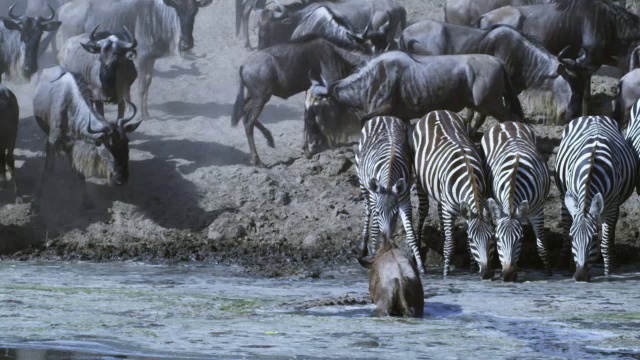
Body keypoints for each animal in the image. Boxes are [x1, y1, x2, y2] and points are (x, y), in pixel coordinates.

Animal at [356, 115, 424, 272]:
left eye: (395, 214)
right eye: (379, 213)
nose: (386, 240)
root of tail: (384, 116)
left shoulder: (404, 200)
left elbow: (411, 234)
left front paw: (420, 265)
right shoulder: (375, 199)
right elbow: (375, 230)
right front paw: (374, 255)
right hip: (363, 183)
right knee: (367, 211)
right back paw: (363, 247)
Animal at [410, 111, 496, 280]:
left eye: (491, 239)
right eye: (473, 240)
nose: (486, 273)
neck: (468, 174)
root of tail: (437, 111)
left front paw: (471, 267)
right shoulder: (450, 209)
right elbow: (451, 244)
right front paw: (446, 273)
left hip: (440, 192)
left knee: (438, 210)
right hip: (420, 181)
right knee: (423, 211)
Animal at [482, 121, 552, 282]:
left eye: (520, 239)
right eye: (498, 239)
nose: (508, 275)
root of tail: (507, 122)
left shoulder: (537, 211)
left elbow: (541, 244)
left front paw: (549, 272)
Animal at [552, 115, 636, 282]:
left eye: (594, 238)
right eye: (573, 237)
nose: (580, 276)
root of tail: (594, 115)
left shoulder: (611, 206)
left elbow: (605, 243)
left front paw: (608, 273)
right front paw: (571, 265)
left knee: (611, 232)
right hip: (565, 197)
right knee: (566, 221)